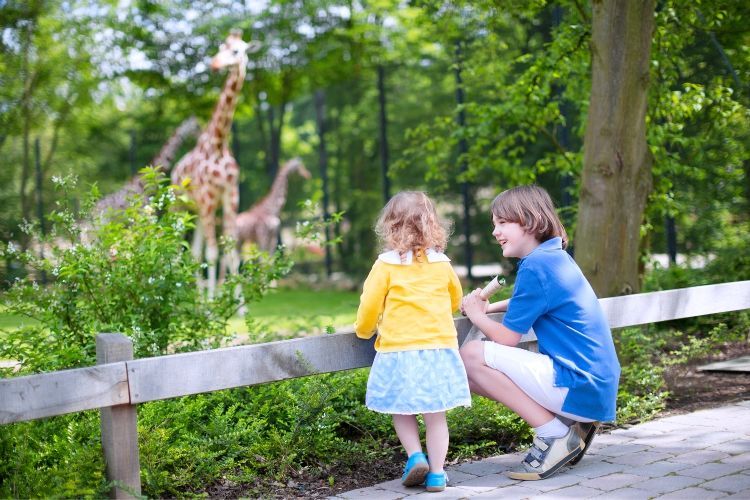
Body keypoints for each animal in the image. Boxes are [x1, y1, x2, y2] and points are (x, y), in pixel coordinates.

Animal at [171, 30, 260, 297]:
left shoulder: (230, 197)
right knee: (176, 246)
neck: (218, 145)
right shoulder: (209, 196)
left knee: (195, 251)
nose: (214, 64)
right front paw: (213, 302)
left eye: (236, 51)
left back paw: (198, 299)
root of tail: (174, 171)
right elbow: (213, 252)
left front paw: (239, 304)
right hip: (180, 207)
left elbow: (229, 250)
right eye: (221, 47)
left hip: (199, 211)